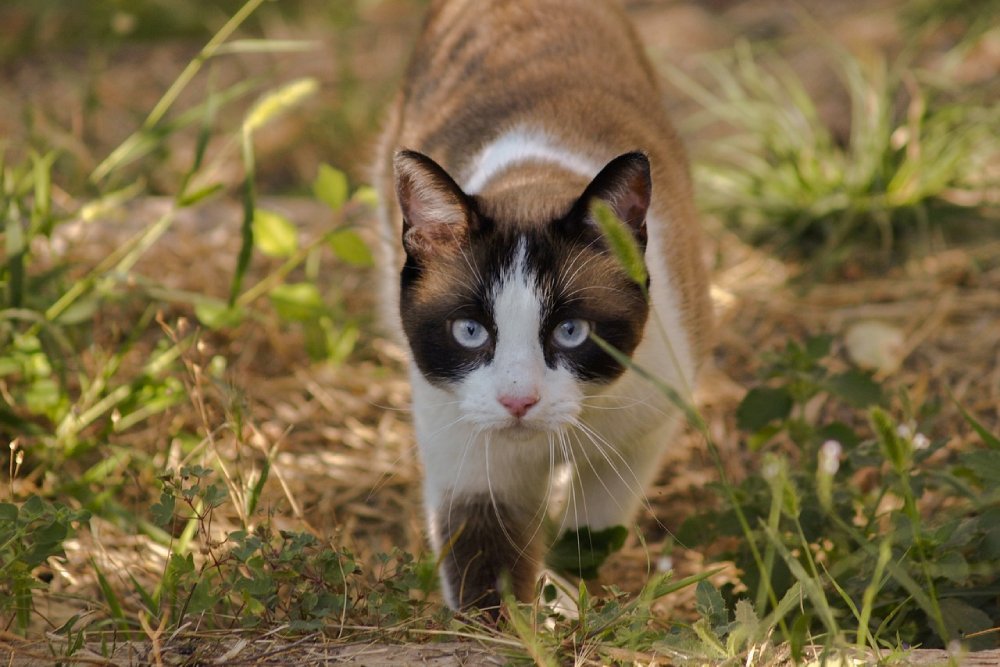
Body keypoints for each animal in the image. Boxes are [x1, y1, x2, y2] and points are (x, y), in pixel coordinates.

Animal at [374, 0, 712, 616]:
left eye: (571, 331)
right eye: (469, 331)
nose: (518, 401)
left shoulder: (640, 435)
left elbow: (584, 542)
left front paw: (573, 613)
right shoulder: (474, 472)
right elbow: (486, 578)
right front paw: (518, 626)